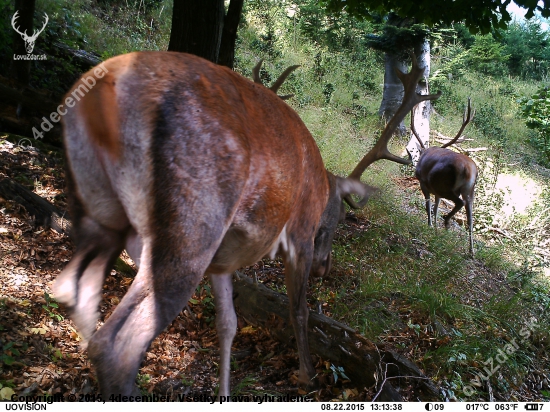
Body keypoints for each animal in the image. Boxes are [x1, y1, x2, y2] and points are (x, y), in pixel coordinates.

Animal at [51, 50, 440, 398]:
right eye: (340, 217)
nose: (324, 268)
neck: (320, 183)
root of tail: (103, 94)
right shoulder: (299, 237)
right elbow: (298, 310)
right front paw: (308, 375)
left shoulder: (223, 261)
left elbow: (229, 323)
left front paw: (224, 392)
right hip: (193, 224)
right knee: (118, 344)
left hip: (97, 212)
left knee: (70, 291)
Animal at [414, 99, 478, 254]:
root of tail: (468, 169)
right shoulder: (437, 193)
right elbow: (436, 207)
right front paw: (435, 229)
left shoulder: (424, 183)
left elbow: (428, 205)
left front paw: (430, 225)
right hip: (469, 191)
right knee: (470, 219)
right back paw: (471, 251)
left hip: (446, 186)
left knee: (459, 203)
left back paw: (447, 222)